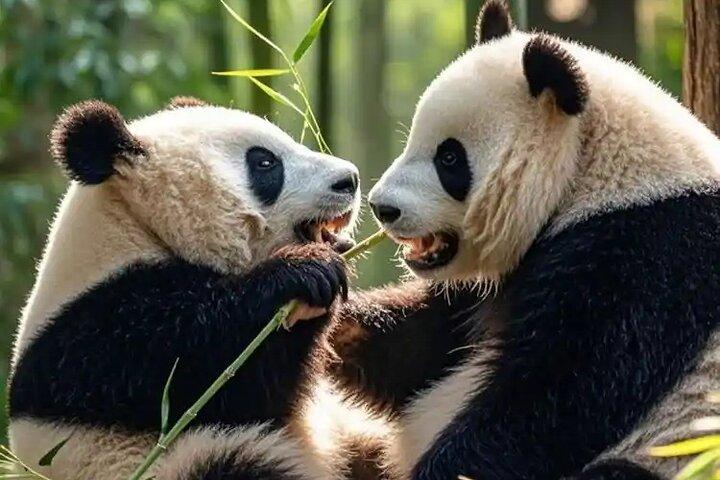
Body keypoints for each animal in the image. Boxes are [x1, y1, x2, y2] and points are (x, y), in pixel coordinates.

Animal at [7, 96, 366, 480]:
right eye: (265, 162)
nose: (349, 179)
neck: (134, 225)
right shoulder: (102, 342)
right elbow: (221, 368)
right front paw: (306, 272)